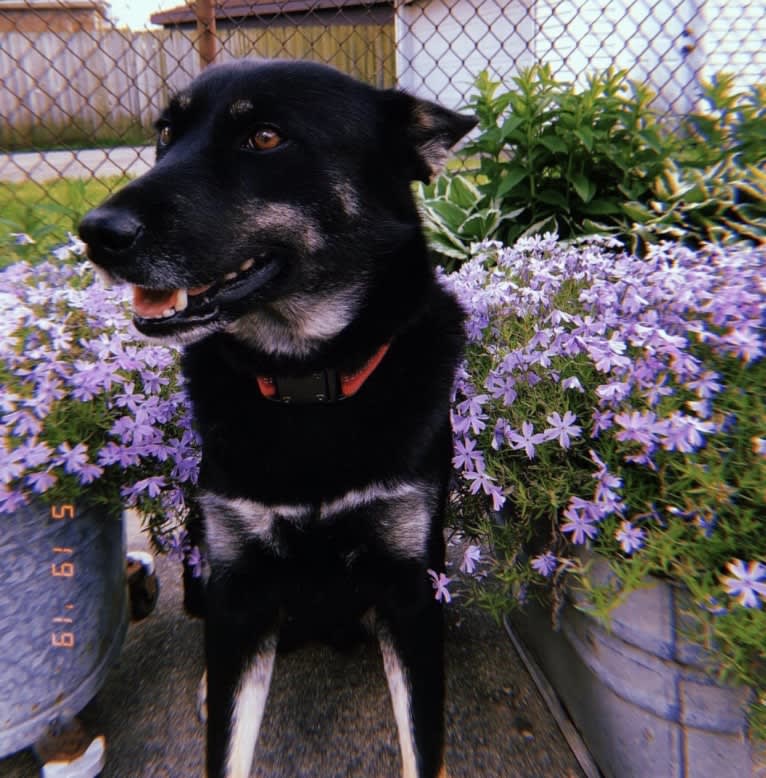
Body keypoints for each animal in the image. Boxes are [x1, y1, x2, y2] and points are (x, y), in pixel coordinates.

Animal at [78, 60, 474, 776]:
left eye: (263, 138)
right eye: (166, 134)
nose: (94, 233)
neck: (307, 382)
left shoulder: (408, 583)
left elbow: (421, 741)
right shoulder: (238, 581)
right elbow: (228, 743)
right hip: (199, 561)